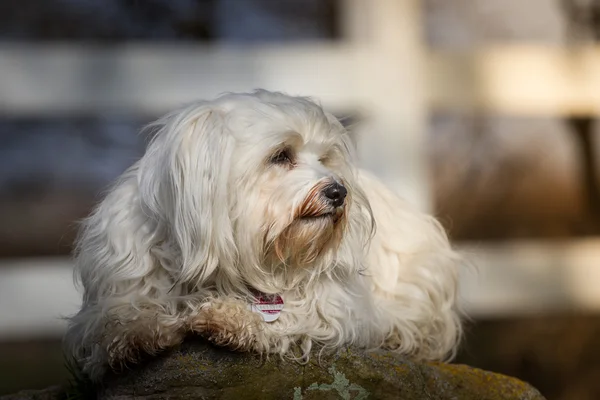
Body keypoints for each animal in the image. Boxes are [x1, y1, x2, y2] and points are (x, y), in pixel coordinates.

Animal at [64, 90, 460, 382]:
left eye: (325, 158)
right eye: (281, 155)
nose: (338, 192)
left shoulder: (334, 306)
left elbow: (296, 315)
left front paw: (230, 318)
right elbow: (115, 320)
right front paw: (136, 333)